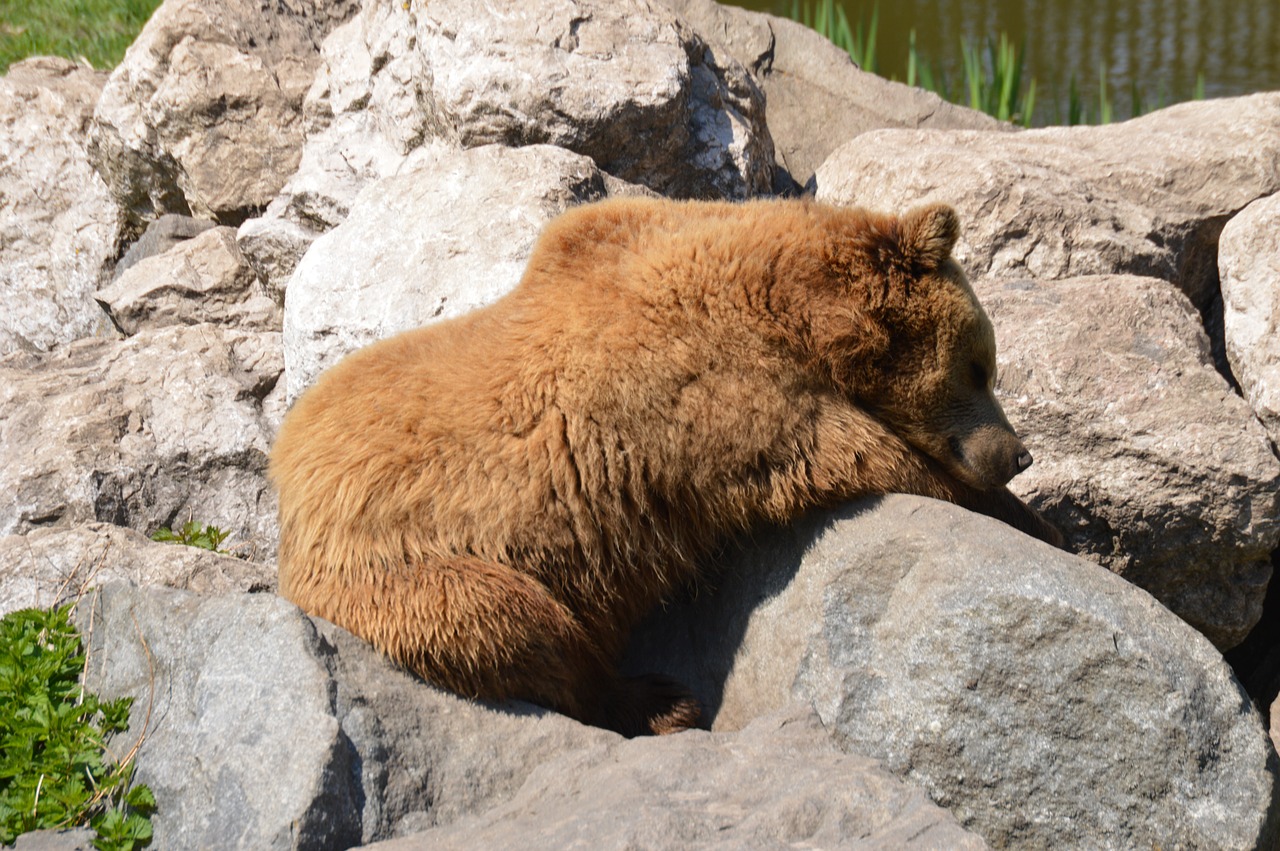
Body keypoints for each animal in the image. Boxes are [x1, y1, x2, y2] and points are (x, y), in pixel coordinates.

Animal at [275, 197, 1064, 737]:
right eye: (981, 366)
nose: (1018, 453)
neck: (798, 312)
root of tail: (287, 495)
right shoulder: (720, 398)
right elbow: (858, 455)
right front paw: (1039, 523)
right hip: (408, 570)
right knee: (518, 627)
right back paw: (658, 699)